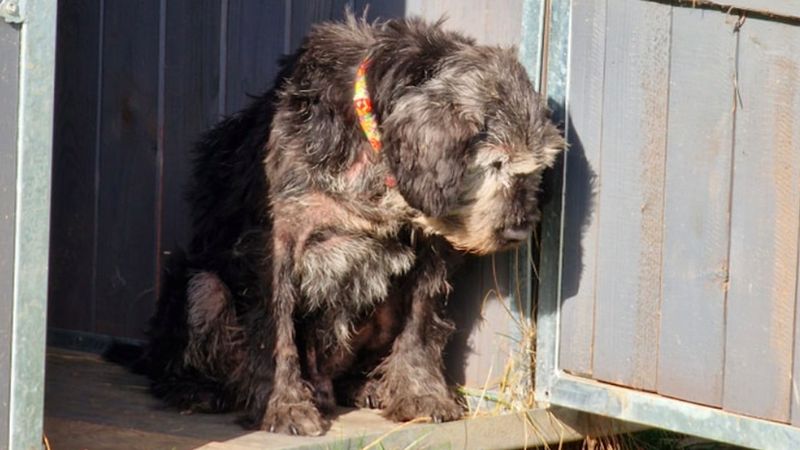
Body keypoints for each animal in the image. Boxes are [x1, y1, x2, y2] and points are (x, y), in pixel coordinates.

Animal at [145, 14, 568, 436]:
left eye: (539, 166)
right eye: (496, 163)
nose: (518, 231)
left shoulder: (430, 251)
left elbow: (421, 324)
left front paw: (421, 395)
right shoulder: (276, 245)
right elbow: (274, 332)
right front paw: (283, 407)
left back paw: (365, 386)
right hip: (204, 289)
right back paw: (198, 391)